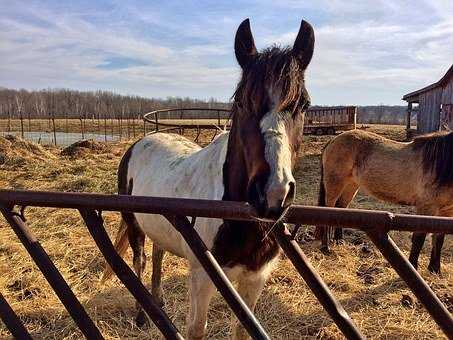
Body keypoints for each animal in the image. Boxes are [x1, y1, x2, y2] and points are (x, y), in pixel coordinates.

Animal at [101, 19, 314, 340]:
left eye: (304, 105)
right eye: (242, 101)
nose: (273, 194)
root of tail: (142, 141)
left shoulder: (255, 278)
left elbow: (243, 330)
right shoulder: (203, 277)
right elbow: (196, 330)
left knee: (158, 254)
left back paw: (158, 300)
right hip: (134, 223)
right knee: (141, 261)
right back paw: (141, 315)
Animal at [314, 129, 452, 274]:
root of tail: (333, 140)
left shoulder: (446, 212)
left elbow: (439, 239)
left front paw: (435, 270)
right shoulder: (426, 207)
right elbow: (419, 238)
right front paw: (413, 267)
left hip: (351, 186)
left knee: (341, 209)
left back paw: (339, 241)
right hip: (335, 185)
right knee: (328, 211)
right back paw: (326, 248)